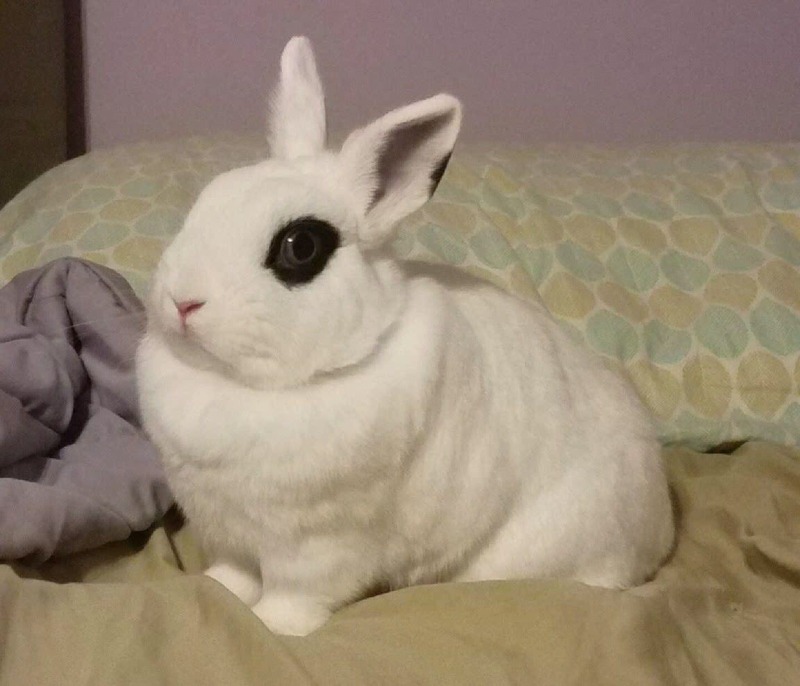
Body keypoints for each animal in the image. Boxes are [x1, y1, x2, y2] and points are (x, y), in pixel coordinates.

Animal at [136, 36, 675, 637]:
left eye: (301, 246)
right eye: (205, 202)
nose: (183, 301)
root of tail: (661, 525)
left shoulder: (315, 548)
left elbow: (292, 596)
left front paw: (272, 627)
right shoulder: (227, 532)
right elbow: (231, 574)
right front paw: (210, 590)